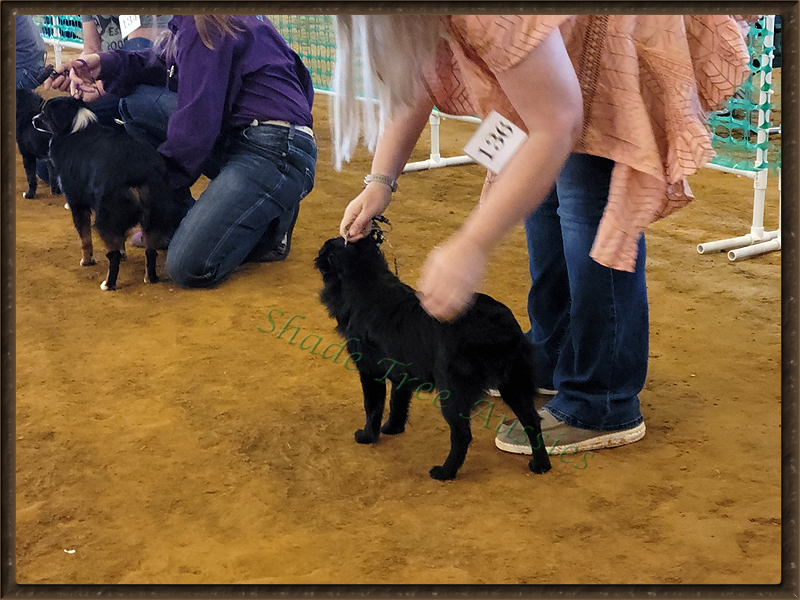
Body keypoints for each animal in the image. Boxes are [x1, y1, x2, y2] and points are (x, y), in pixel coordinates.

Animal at [34, 97, 184, 292]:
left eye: (45, 113)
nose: (33, 120)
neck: (74, 126)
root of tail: (137, 170)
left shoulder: (77, 203)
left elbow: (85, 238)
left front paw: (87, 261)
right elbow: (120, 241)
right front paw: (123, 253)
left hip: (106, 216)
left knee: (112, 256)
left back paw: (108, 284)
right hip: (155, 216)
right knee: (151, 251)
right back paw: (150, 278)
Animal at [316, 227, 552, 480]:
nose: (318, 255)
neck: (367, 280)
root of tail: (498, 325)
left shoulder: (370, 371)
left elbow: (373, 406)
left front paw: (368, 436)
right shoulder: (402, 372)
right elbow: (397, 402)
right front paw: (392, 428)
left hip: (453, 392)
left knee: (462, 434)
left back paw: (445, 471)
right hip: (513, 384)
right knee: (532, 421)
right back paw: (541, 465)